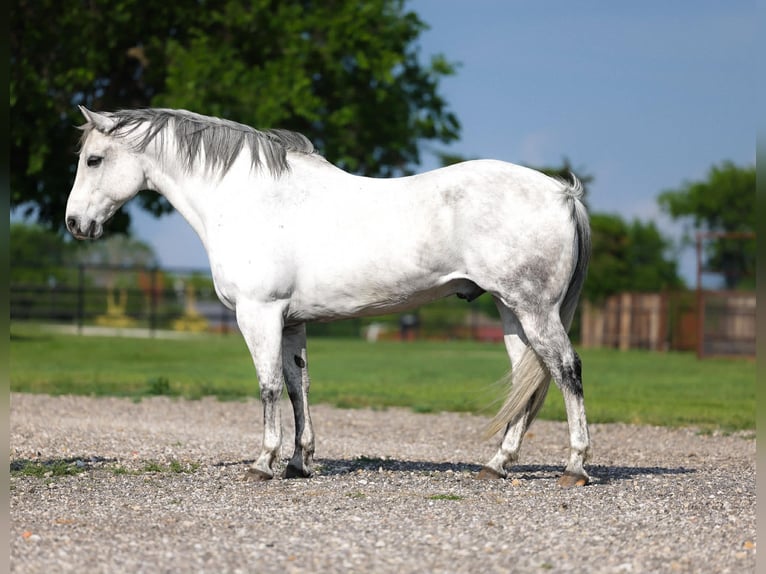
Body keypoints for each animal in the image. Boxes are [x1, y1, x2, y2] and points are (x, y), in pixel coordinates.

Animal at [66, 106, 592, 487]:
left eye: (94, 159)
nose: (75, 223)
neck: (250, 198)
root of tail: (561, 193)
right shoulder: (291, 322)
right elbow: (298, 387)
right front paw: (299, 462)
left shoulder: (259, 314)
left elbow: (268, 387)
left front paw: (263, 462)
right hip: (511, 312)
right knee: (528, 379)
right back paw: (498, 463)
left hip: (534, 310)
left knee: (566, 370)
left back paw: (575, 467)